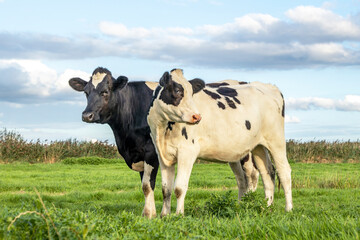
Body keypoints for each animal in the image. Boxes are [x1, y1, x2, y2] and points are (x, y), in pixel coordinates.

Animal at [68, 66, 258, 218]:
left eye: (105, 92)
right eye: (86, 92)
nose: (87, 115)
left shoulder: (151, 152)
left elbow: (147, 185)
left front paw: (148, 214)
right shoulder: (139, 153)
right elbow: (146, 185)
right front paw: (150, 212)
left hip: (248, 152)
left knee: (251, 175)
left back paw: (249, 205)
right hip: (233, 153)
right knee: (241, 179)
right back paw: (239, 205)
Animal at [148, 68, 292, 216]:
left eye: (192, 92)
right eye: (177, 90)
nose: (197, 116)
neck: (163, 128)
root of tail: (269, 86)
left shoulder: (187, 151)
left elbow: (179, 188)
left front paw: (179, 215)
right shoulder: (162, 154)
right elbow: (166, 189)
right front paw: (164, 215)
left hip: (276, 141)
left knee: (284, 172)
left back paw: (288, 209)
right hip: (258, 146)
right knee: (267, 173)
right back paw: (267, 207)